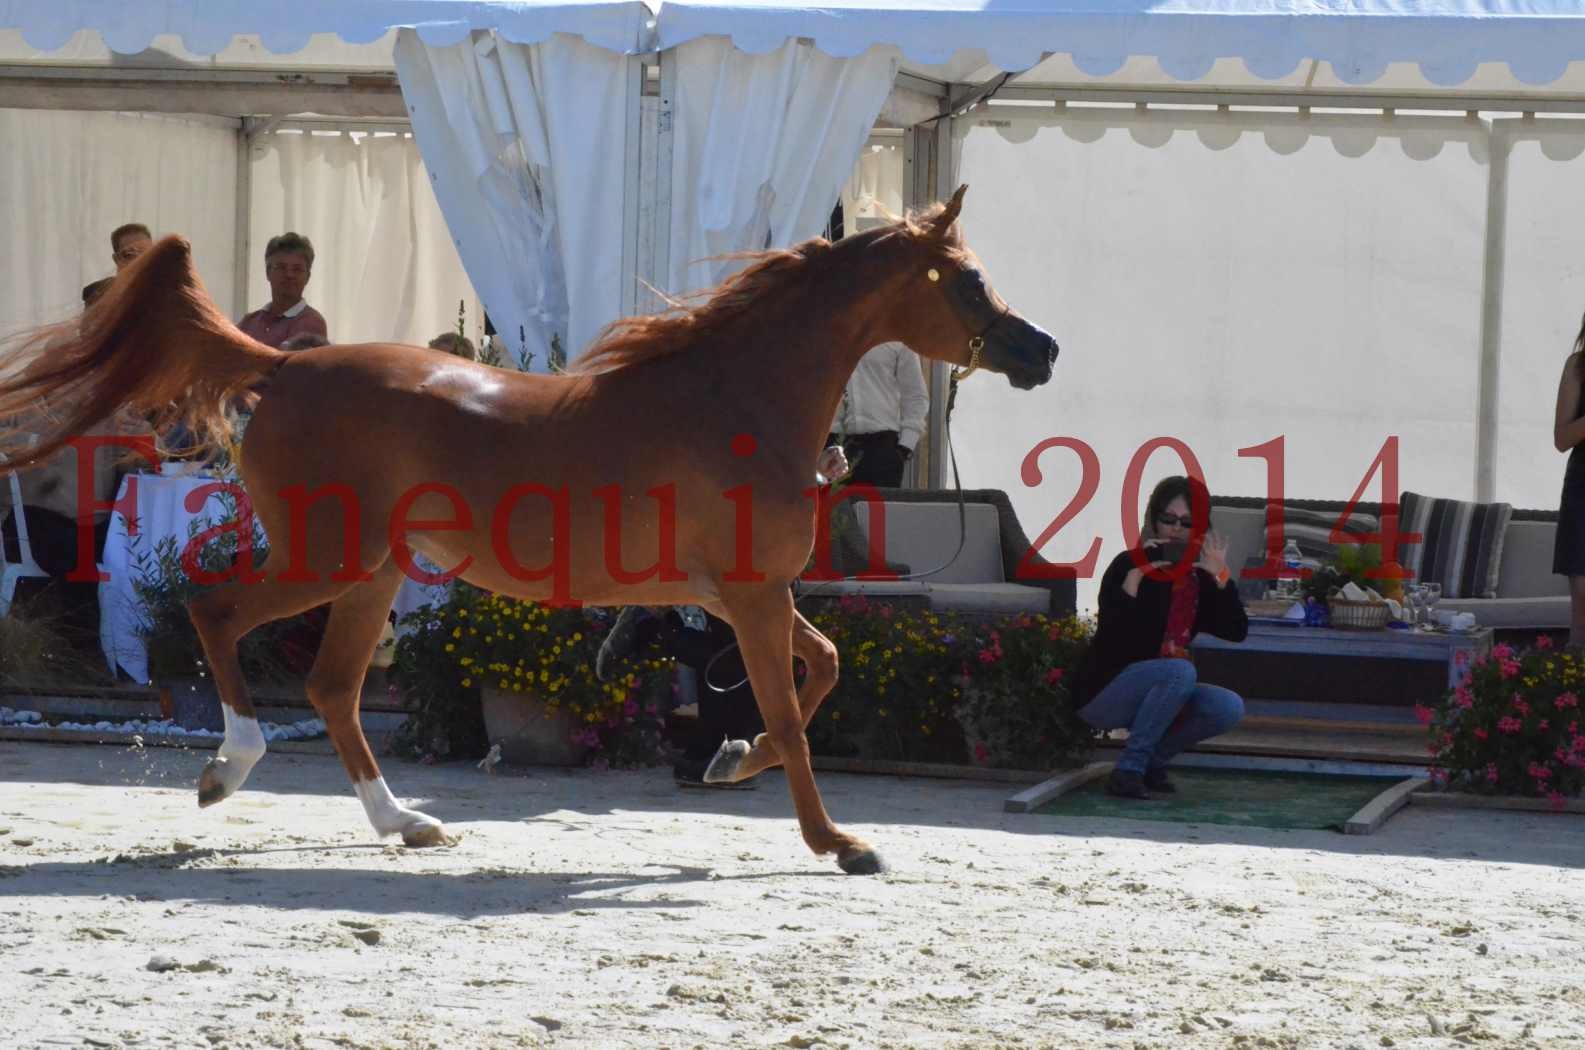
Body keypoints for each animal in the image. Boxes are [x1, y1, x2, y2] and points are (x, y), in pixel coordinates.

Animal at [3, 184, 1065, 875]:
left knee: (334, 687)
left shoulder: (742, 598)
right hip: (325, 556)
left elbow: (825, 671)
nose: (1043, 350)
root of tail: (285, 365)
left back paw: (406, 824)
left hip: (372, 574)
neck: (733, 396)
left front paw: (730, 760)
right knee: (215, 613)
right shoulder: (752, 599)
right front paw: (837, 843)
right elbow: (796, 716)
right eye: (967, 281)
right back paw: (228, 767)